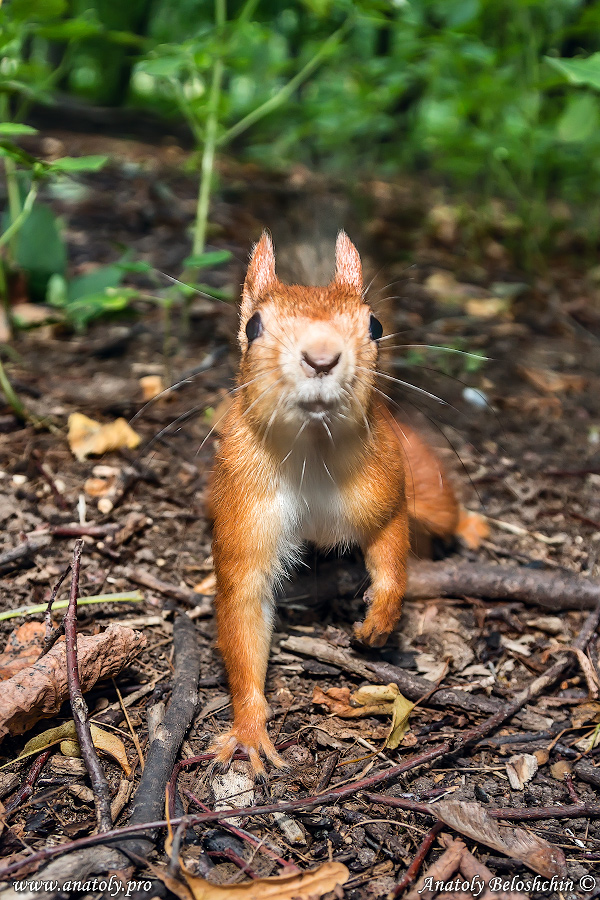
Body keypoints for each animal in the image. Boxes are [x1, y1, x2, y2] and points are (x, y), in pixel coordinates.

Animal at [209, 232, 458, 776]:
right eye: (254, 326)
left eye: (375, 325)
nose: (322, 357)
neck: (313, 449)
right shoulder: (247, 505)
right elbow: (244, 607)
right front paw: (249, 728)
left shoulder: (382, 485)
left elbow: (391, 544)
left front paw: (379, 620)